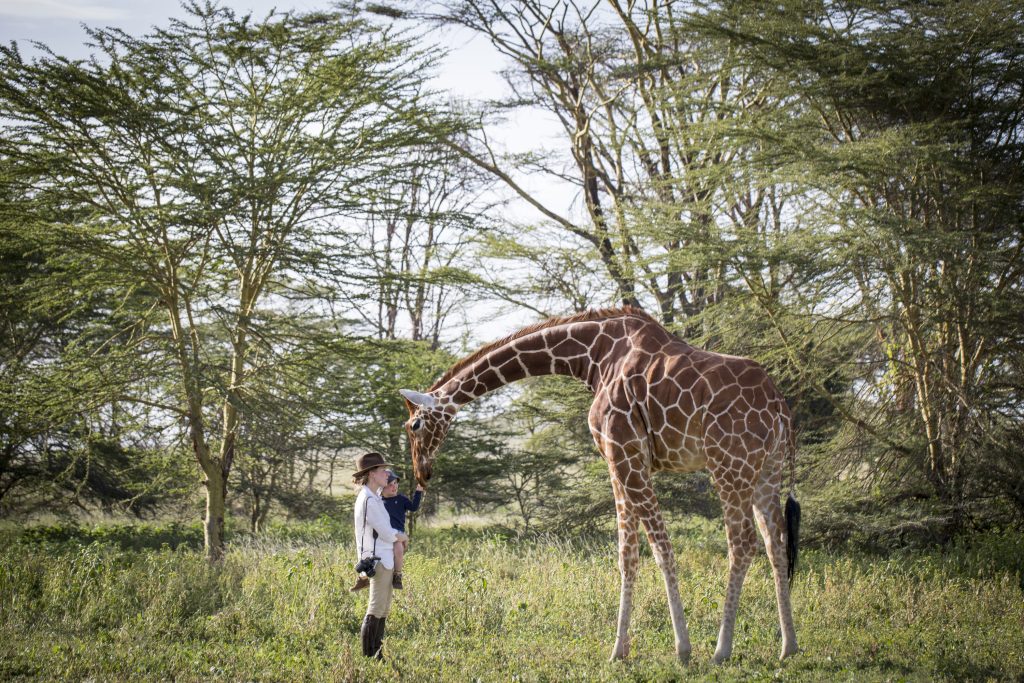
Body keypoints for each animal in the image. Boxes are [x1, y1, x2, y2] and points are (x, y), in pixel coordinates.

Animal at [400, 307, 799, 664]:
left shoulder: (623, 453)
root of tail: (780, 408)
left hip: (729, 464)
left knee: (742, 542)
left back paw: (722, 650)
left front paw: (682, 649)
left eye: (414, 425)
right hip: (768, 470)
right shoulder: (620, 460)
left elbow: (661, 548)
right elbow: (628, 554)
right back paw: (788, 647)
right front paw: (620, 650)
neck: (593, 356)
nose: (422, 473)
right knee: (775, 541)